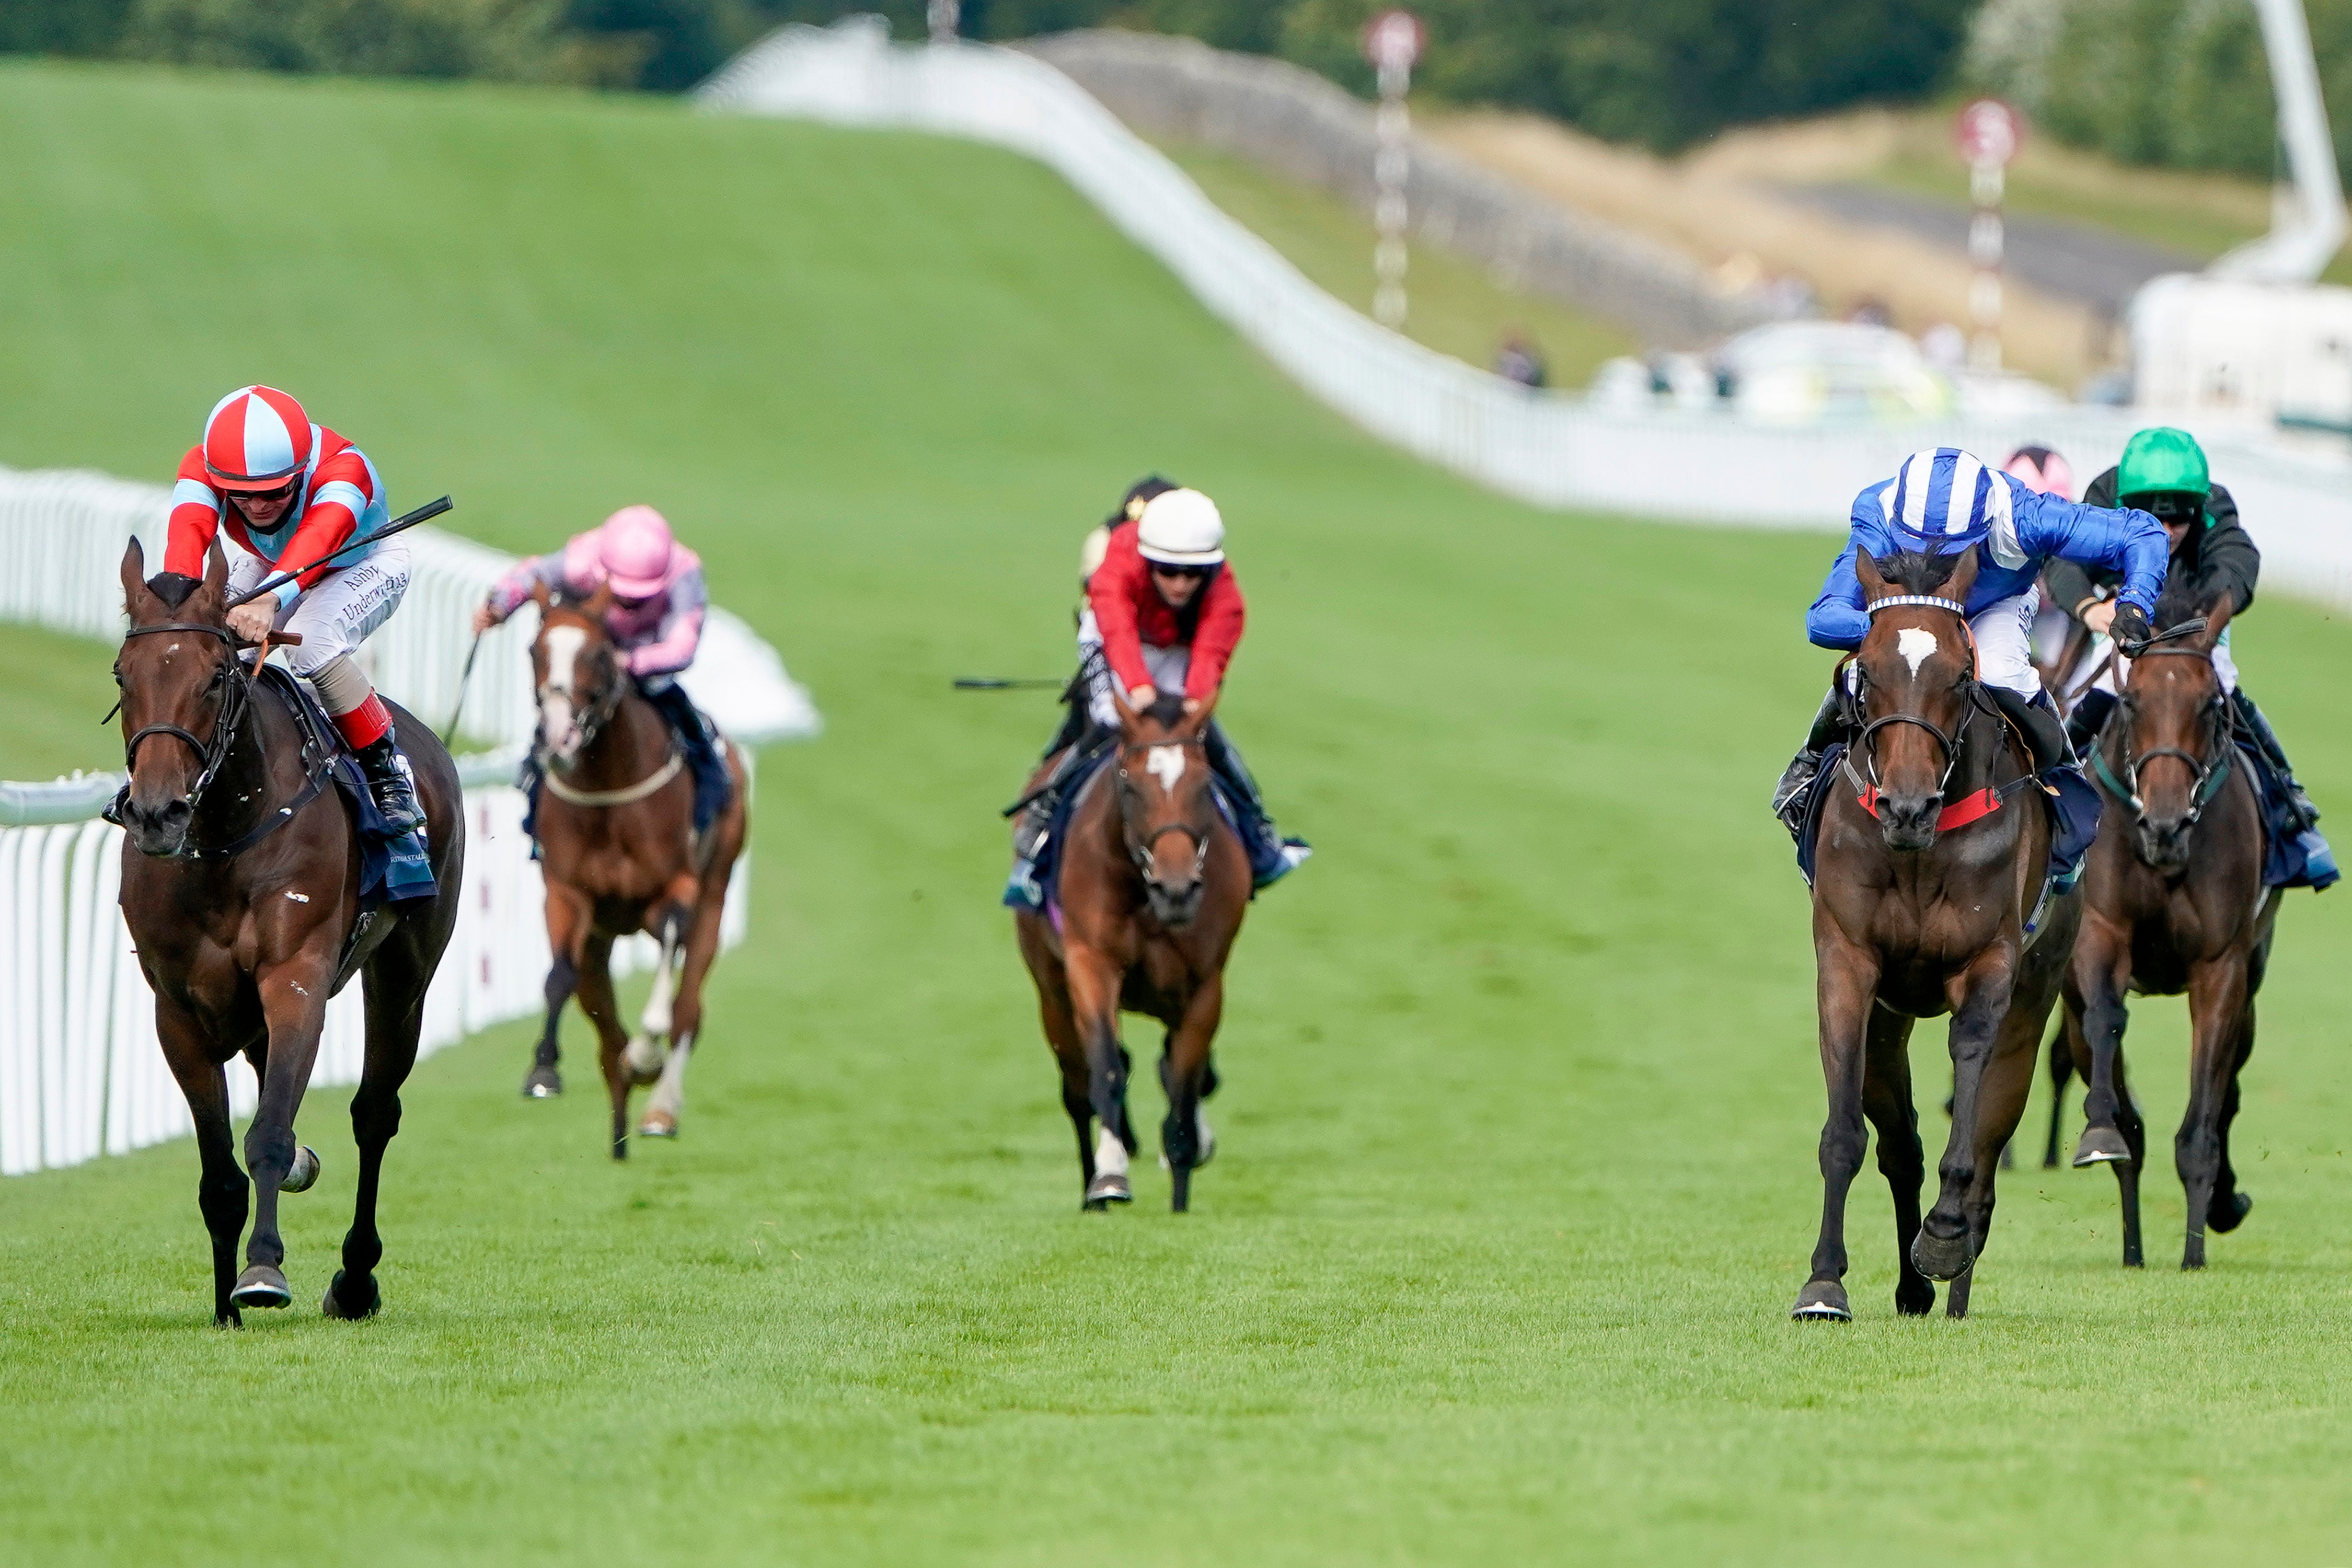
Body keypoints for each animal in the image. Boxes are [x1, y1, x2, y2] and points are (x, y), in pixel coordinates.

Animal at [113, 540, 463, 1325]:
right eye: (124, 674)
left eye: (215, 677)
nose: (157, 814)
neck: (224, 834)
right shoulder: (177, 1011)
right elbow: (220, 1173)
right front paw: (224, 1309)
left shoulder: (295, 978)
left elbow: (269, 1134)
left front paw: (263, 1271)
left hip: (405, 972)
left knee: (375, 1113)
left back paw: (356, 1280)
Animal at [522, 583, 743, 1161]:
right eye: (534, 651)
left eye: (601, 654)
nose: (559, 738)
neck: (608, 787)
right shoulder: (565, 893)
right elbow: (558, 976)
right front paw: (544, 1070)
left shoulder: (677, 888)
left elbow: (666, 967)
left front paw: (647, 1058)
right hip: (600, 941)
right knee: (605, 1029)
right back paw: (620, 1130)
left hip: (715, 896)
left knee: (688, 1009)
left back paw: (658, 1109)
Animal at [1021, 691, 1261, 1213]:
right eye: (1129, 783)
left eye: (1203, 783)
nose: (1177, 889)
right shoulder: (1091, 964)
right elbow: (1107, 1069)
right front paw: (1110, 1176)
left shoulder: (1205, 985)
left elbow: (1185, 1087)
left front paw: (1181, 1193)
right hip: (1051, 991)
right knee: (1077, 1087)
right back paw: (1092, 1185)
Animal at [1788, 545, 2089, 1316]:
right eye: (1866, 670)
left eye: (1960, 676)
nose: (1908, 807)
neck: (1917, 853)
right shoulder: (1848, 962)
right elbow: (1846, 1133)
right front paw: (1824, 1283)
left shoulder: (1989, 965)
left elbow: (1972, 1100)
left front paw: (1945, 1236)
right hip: (1890, 1018)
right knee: (1901, 1144)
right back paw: (1913, 1287)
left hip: (2038, 987)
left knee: (1989, 1137)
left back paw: (1953, 1276)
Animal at [2060, 592, 2277, 1278]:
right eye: (2133, 701)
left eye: (2210, 704)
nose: (2165, 824)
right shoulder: (2100, 935)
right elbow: (2108, 1021)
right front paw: (2100, 1132)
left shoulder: (2222, 967)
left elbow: (2206, 1112)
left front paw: (2195, 1250)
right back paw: (2131, 1249)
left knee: (2230, 1084)